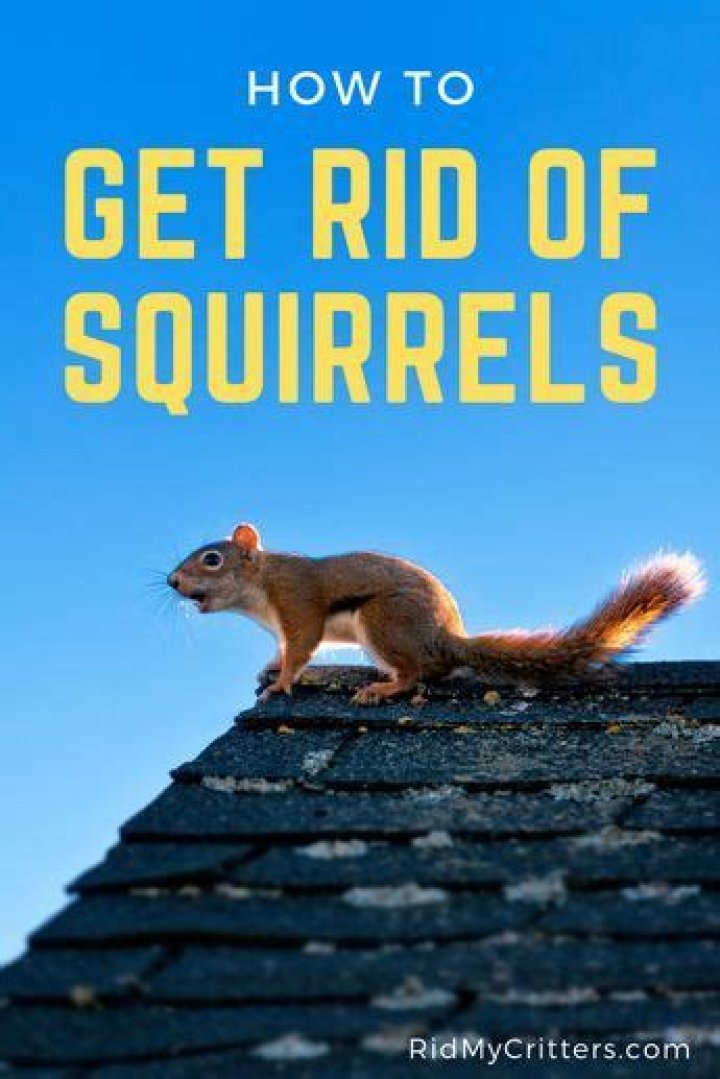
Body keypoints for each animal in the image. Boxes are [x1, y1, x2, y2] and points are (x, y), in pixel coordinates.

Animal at [167, 524, 705, 705]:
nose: (171, 582)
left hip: (382, 621)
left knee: (418, 672)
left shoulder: (299, 604)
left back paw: (384, 688)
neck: (261, 588)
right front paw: (270, 668)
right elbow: (282, 649)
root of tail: (448, 637)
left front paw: (280, 685)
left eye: (211, 559)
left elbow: (301, 647)